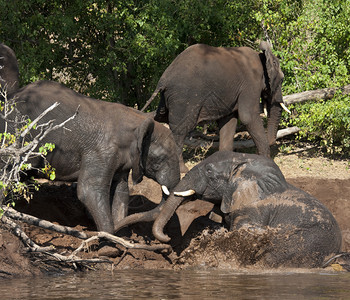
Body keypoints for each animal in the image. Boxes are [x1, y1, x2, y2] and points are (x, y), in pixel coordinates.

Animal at [0, 80, 180, 234]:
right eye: (162, 158)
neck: (137, 119)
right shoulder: (102, 151)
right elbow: (89, 190)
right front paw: (109, 242)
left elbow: (121, 191)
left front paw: (121, 238)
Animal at [116, 152, 340, 268]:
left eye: (208, 171)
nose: (167, 240)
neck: (243, 163)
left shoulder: (253, 208)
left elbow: (244, 232)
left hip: (308, 243)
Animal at [141, 41, 288, 172]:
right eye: (281, 79)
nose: (272, 141)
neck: (262, 57)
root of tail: (163, 80)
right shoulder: (251, 83)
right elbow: (248, 116)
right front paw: (267, 163)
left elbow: (229, 121)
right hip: (183, 98)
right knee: (180, 131)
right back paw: (183, 170)